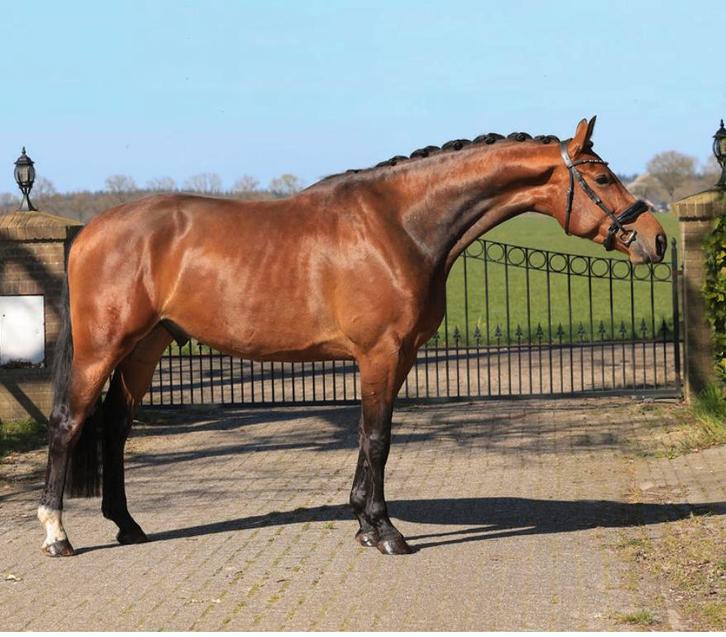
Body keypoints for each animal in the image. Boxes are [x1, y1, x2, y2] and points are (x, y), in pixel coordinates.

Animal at [38, 116, 667, 557]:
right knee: (69, 424)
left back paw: (128, 524)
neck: (400, 225)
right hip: (102, 347)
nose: (656, 239)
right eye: (603, 177)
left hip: (145, 348)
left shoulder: (399, 356)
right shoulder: (379, 354)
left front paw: (364, 523)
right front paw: (385, 531)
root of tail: (92, 229)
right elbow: (377, 438)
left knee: (115, 428)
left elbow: (371, 440)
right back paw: (57, 534)